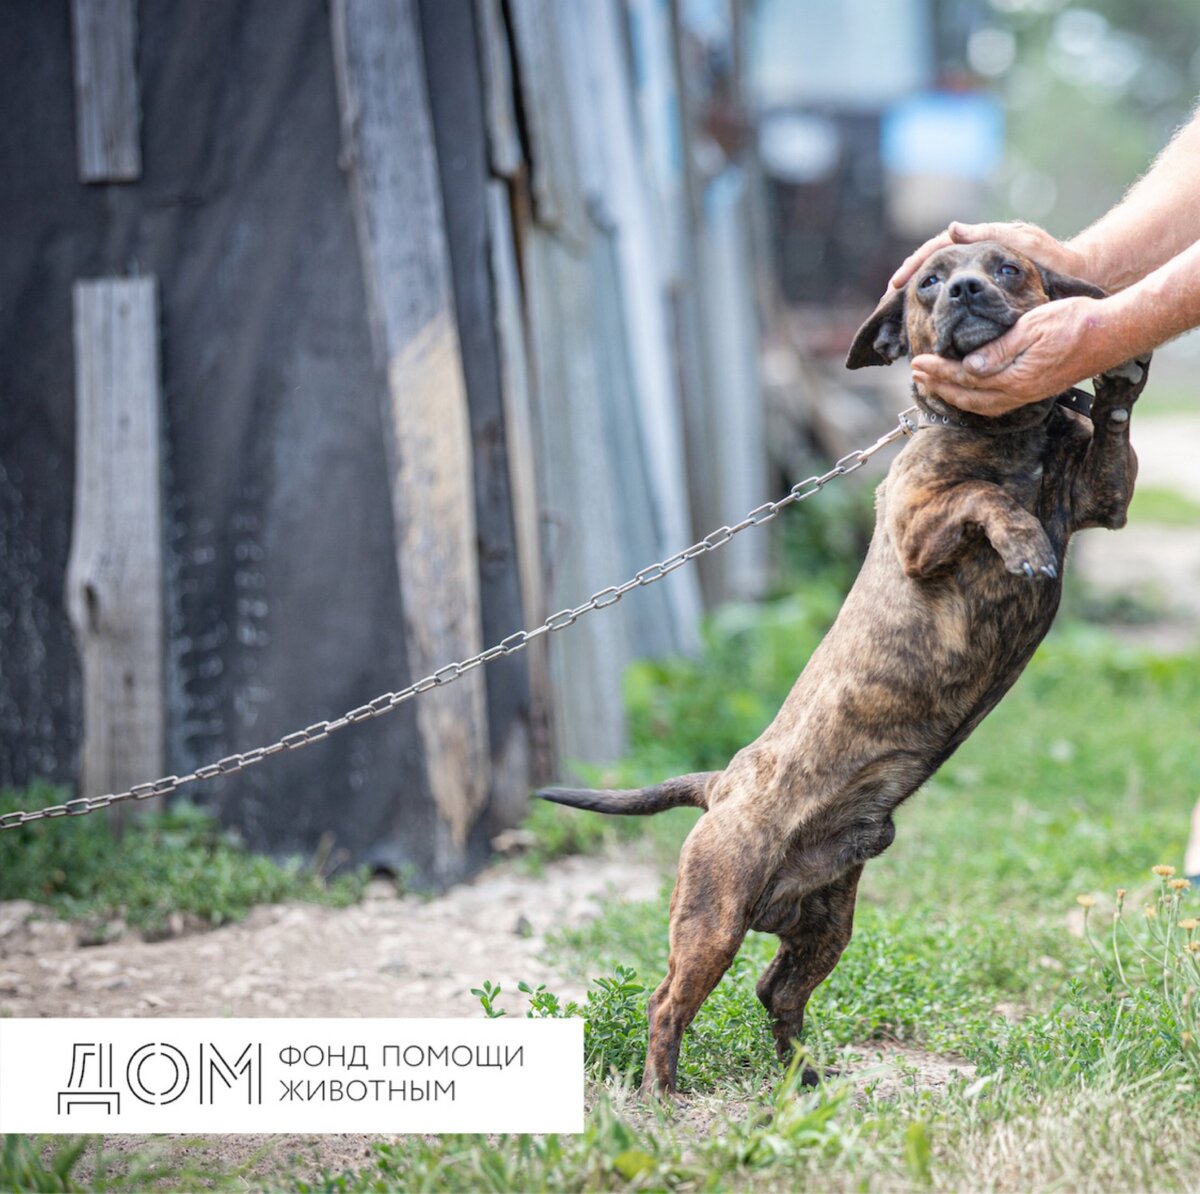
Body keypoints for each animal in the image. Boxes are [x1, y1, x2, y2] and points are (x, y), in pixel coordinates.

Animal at [540, 240, 1147, 1094]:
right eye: (929, 283)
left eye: (1007, 268)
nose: (964, 290)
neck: (1009, 434)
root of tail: (721, 784)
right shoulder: (922, 529)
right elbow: (982, 498)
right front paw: (1021, 536)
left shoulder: (1104, 495)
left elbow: (1110, 435)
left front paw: (1119, 374)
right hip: (713, 918)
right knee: (666, 1002)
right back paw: (662, 1092)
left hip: (826, 922)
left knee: (776, 989)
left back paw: (802, 1079)